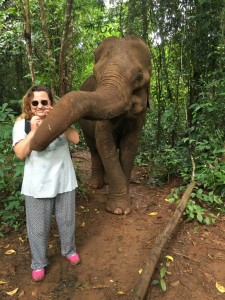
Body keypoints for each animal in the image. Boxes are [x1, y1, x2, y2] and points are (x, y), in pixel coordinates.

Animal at [29, 35, 151, 216]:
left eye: (138, 77)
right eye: (95, 74)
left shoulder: (139, 118)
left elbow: (130, 145)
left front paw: (123, 207)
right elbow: (104, 142)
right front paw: (119, 209)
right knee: (94, 149)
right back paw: (96, 185)